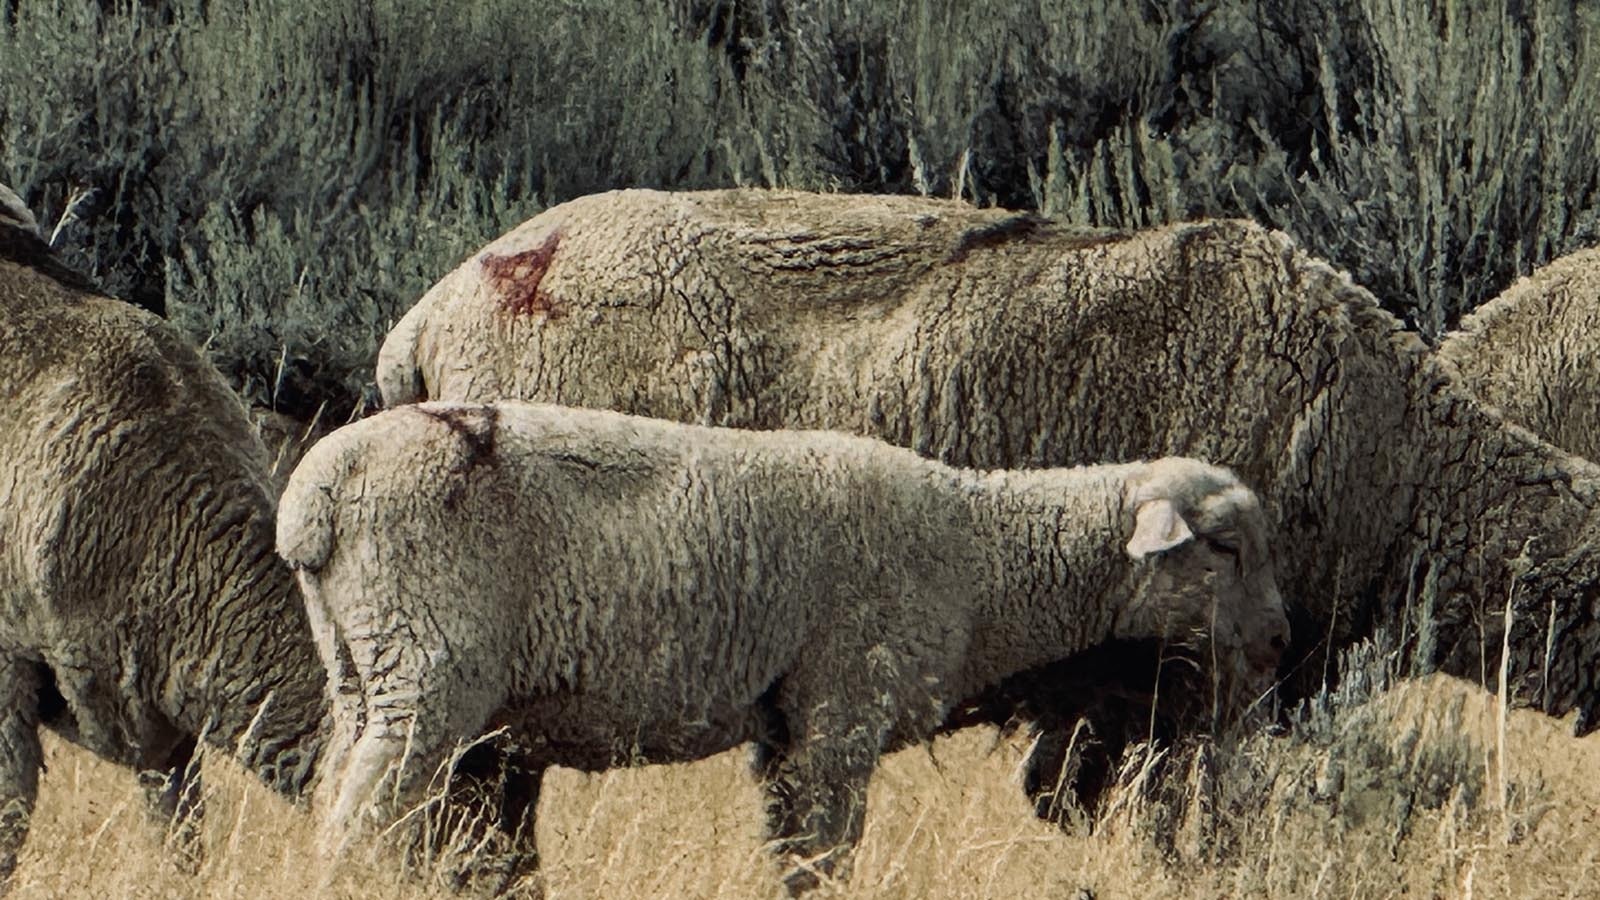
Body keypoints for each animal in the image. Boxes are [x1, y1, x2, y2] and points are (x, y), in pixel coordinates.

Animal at [278, 398, 1286, 890]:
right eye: (1226, 545)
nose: (1280, 639)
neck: (980, 556)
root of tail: (315, 499)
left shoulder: (786, 726)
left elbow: (793, 852)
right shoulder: (844, 707)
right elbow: (829, 854)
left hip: (362, 667)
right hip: (426, 665)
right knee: (357, 818)